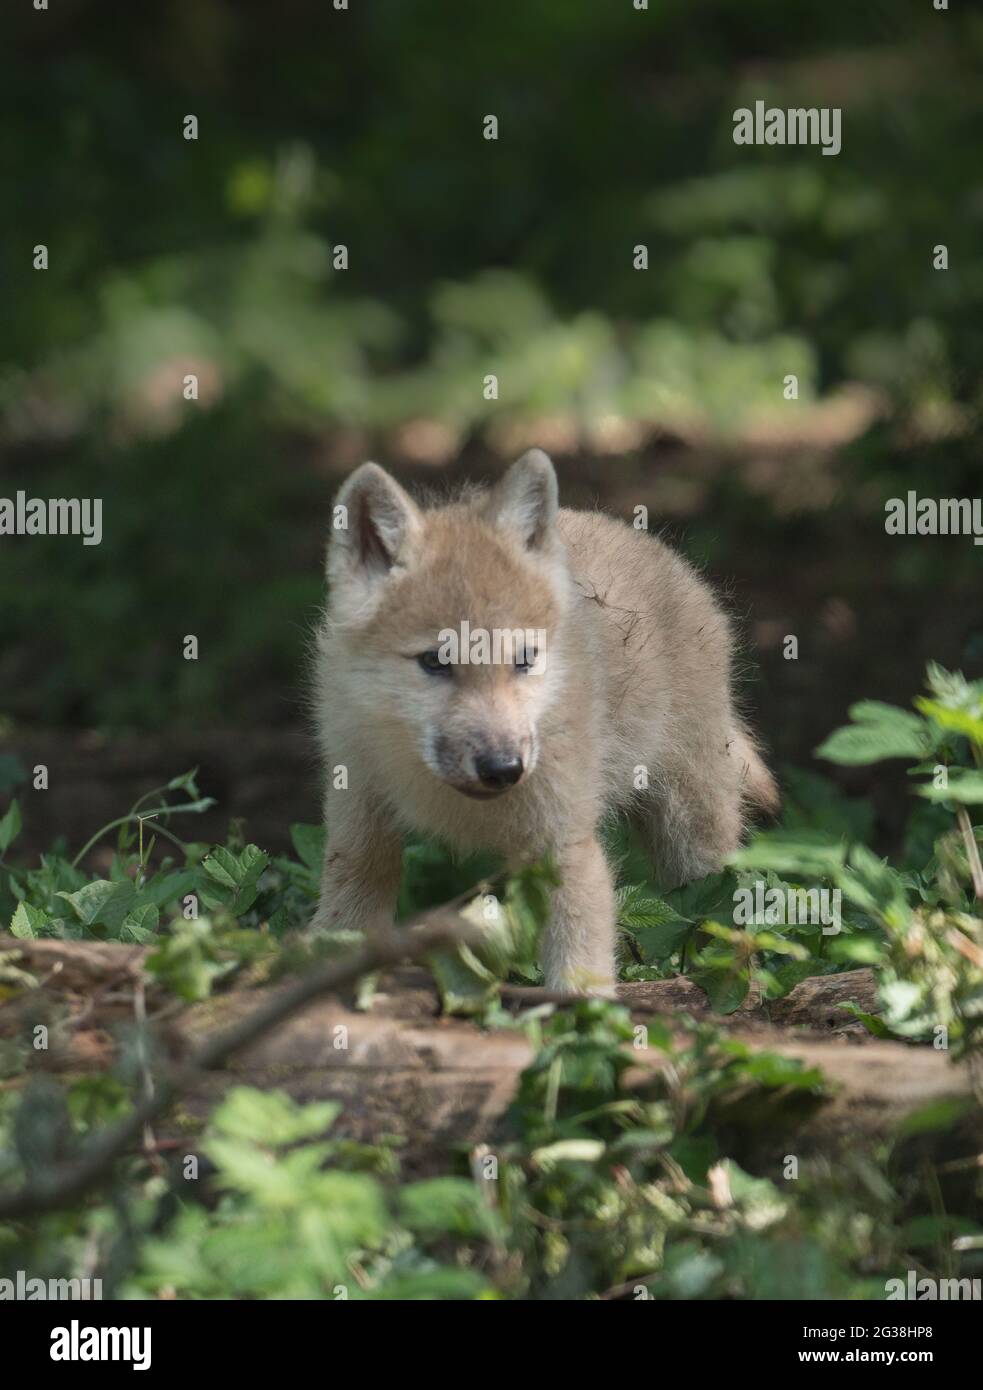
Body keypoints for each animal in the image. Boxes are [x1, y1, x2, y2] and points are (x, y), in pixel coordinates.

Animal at [311, 449, 778, 994]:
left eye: (524, 660)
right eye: (434, 662)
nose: (503, 768)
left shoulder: (566, 842)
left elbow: (580, 973)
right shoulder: (358, 814)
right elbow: (348, 907)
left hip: (690, 830)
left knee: (723, 913)